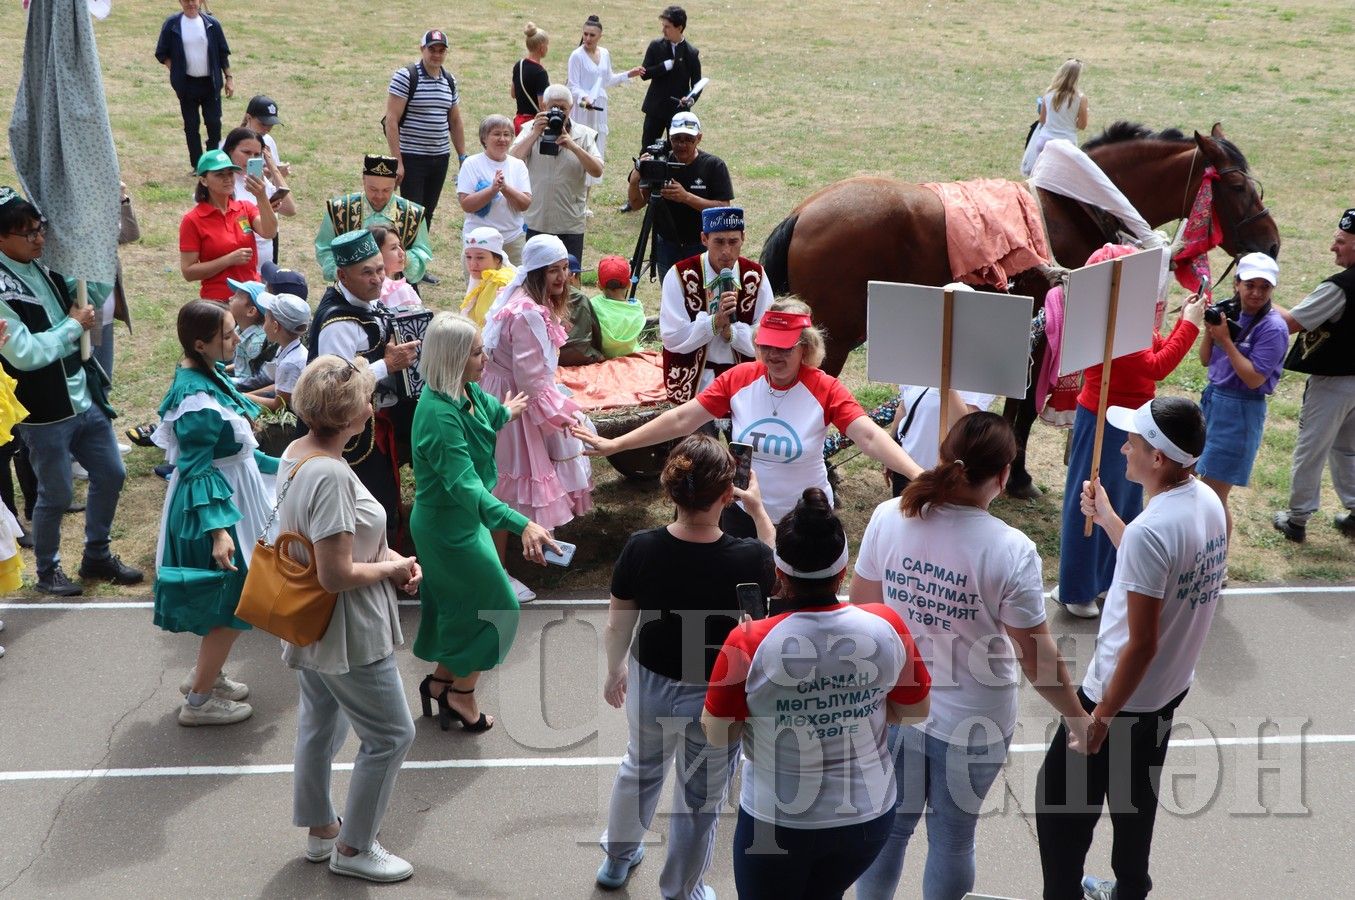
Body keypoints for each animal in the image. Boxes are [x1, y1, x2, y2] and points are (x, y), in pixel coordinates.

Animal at [764, 121, 1279, 498]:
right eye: (1236, 185)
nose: (1271, 242)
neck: (1077, 206)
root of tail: (803, 212)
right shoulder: (1047, 330)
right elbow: (1027, 408)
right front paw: (1019, 477)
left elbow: (1017, 404)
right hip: (835, 339)